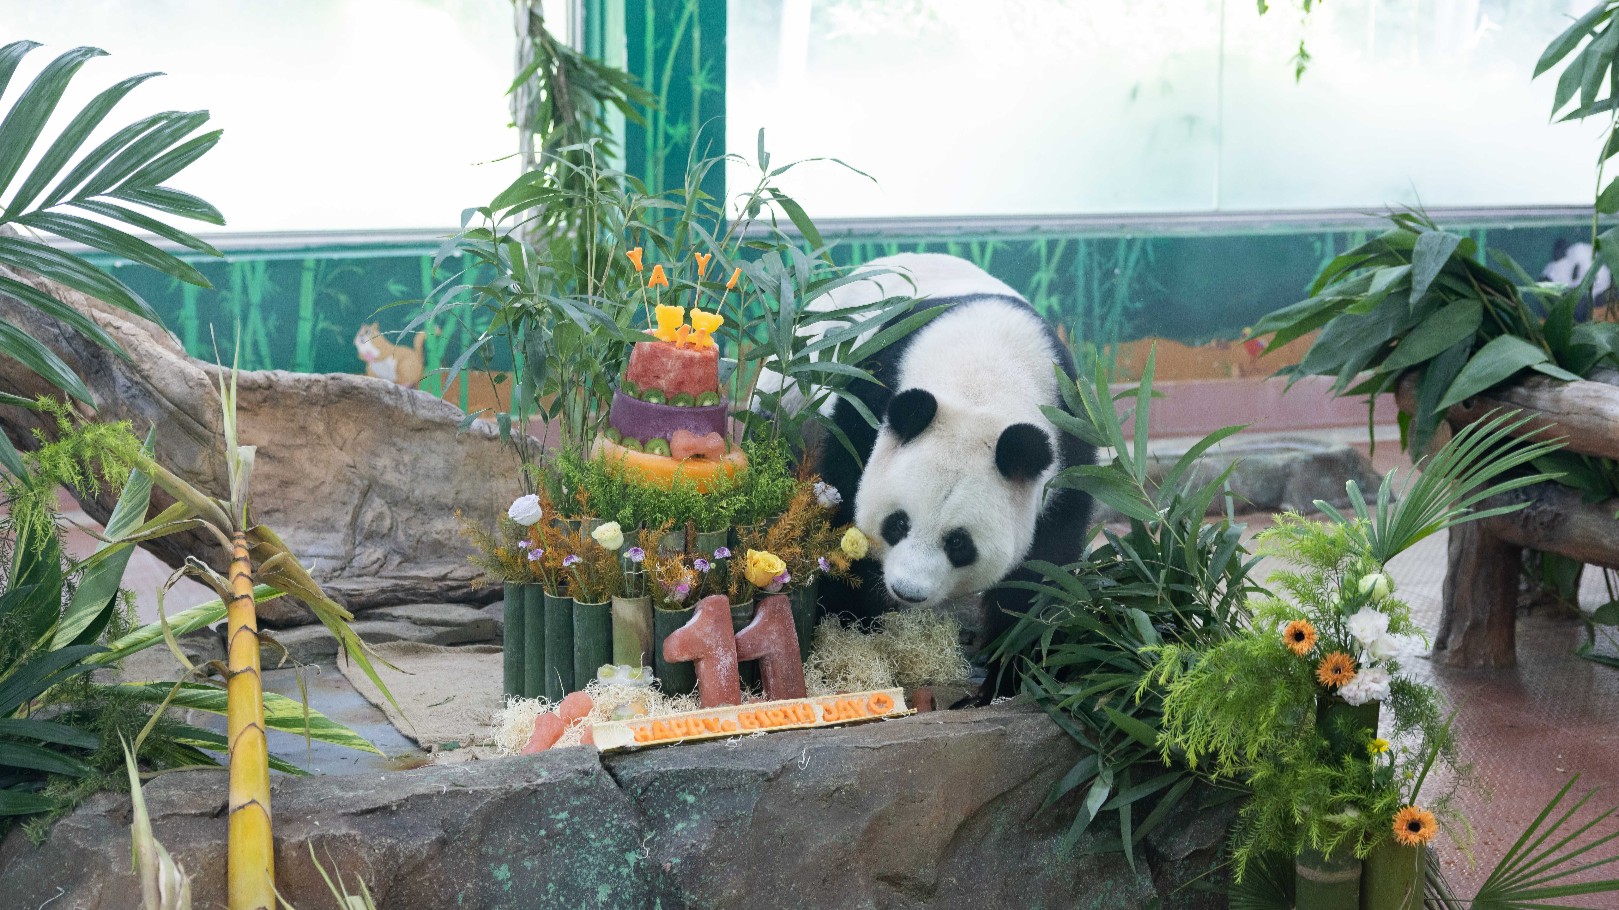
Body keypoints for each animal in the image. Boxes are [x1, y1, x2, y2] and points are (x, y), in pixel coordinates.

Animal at [809, 249, 1100, 693]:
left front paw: (1012, 672)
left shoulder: (1067, 439)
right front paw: (850, 627)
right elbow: (843, 499)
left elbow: (1042, 571)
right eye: (897, 523)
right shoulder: (870, 397)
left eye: (959, 543)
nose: (907, 591)